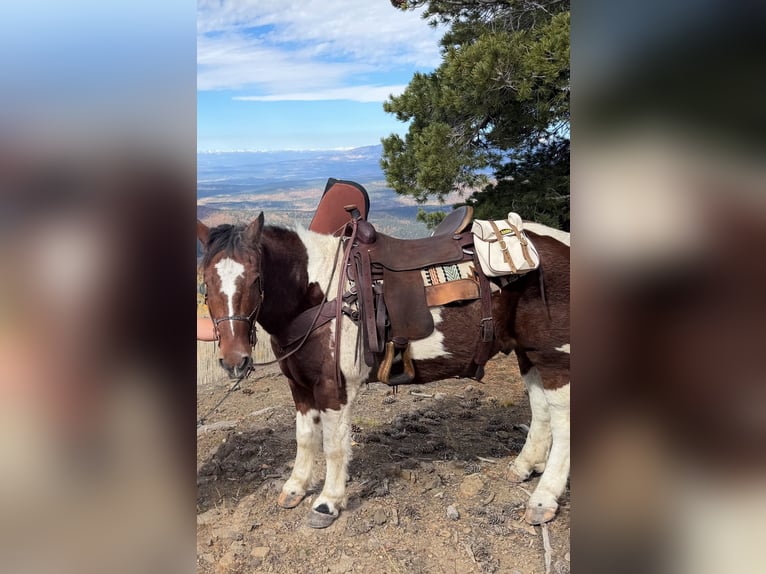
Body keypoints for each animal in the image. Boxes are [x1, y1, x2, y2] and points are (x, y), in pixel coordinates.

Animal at [198, 213, 568, 532]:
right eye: (206, 281)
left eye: (255, 279)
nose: (234, 360)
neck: (319, 294)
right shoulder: (299, 386)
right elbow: (304, 437)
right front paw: (295, 487)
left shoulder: (334, 388)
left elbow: (334, 446)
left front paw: (327, 502)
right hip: (528, 353)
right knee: (540, 411)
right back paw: (524, 466)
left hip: (555, 358)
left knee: (562, 425)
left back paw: (542, 500)